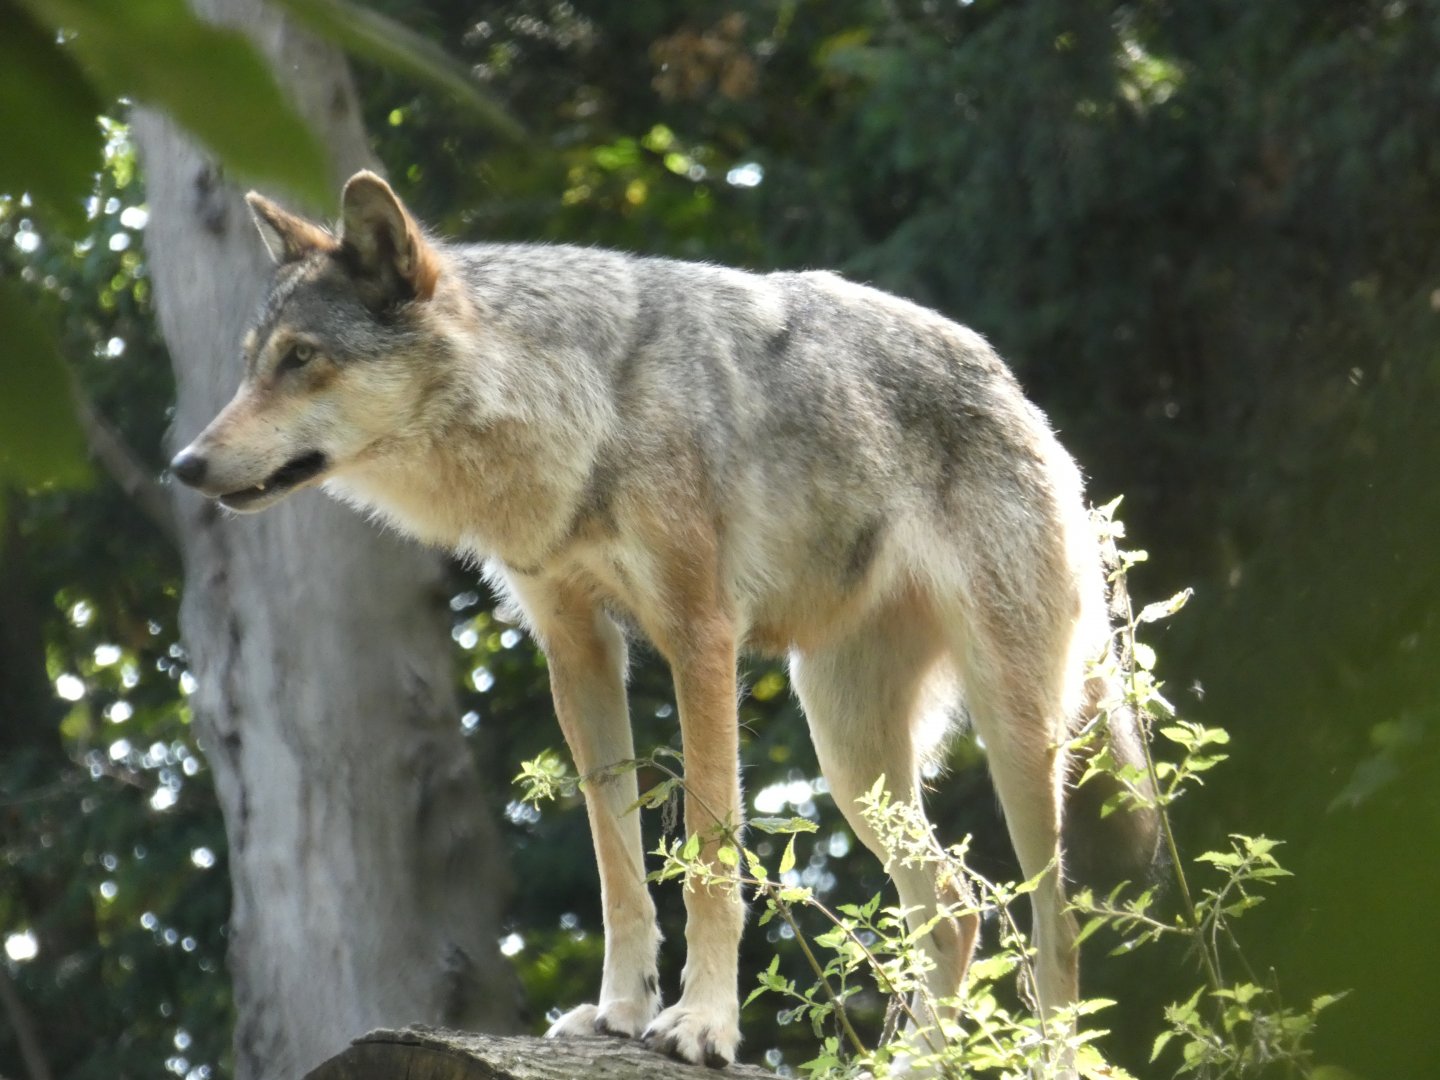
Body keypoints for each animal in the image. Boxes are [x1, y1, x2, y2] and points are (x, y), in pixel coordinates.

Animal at [170, 171, 1159, 1069]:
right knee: (955, 907)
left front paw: (702, 1026)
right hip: (851, 754)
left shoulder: (701, 637)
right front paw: (618, 1012)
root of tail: (1018, 396)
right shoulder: (577, 650)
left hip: (1016, 739)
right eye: (253, 362)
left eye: (302, 358)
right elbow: (620, 866)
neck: (583, 409)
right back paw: (908, 1066)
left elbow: (710, 862)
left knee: (1052, 929)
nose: (184, 465)